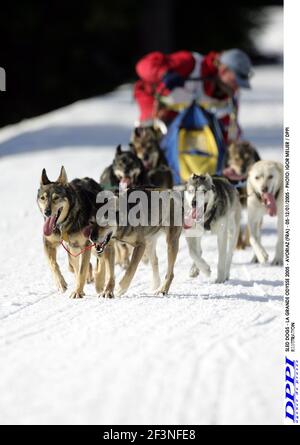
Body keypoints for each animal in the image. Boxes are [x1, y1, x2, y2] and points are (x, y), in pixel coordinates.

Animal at [36, 166, 102, 298]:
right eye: (43, 198)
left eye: (56, 198)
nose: (47, 212)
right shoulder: (48, 243)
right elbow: (52, 264)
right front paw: (61, 284)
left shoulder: (85, 245)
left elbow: (81, 271)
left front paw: (77, 291)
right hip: (73, 248)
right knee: (76, 266)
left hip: (92, 246)